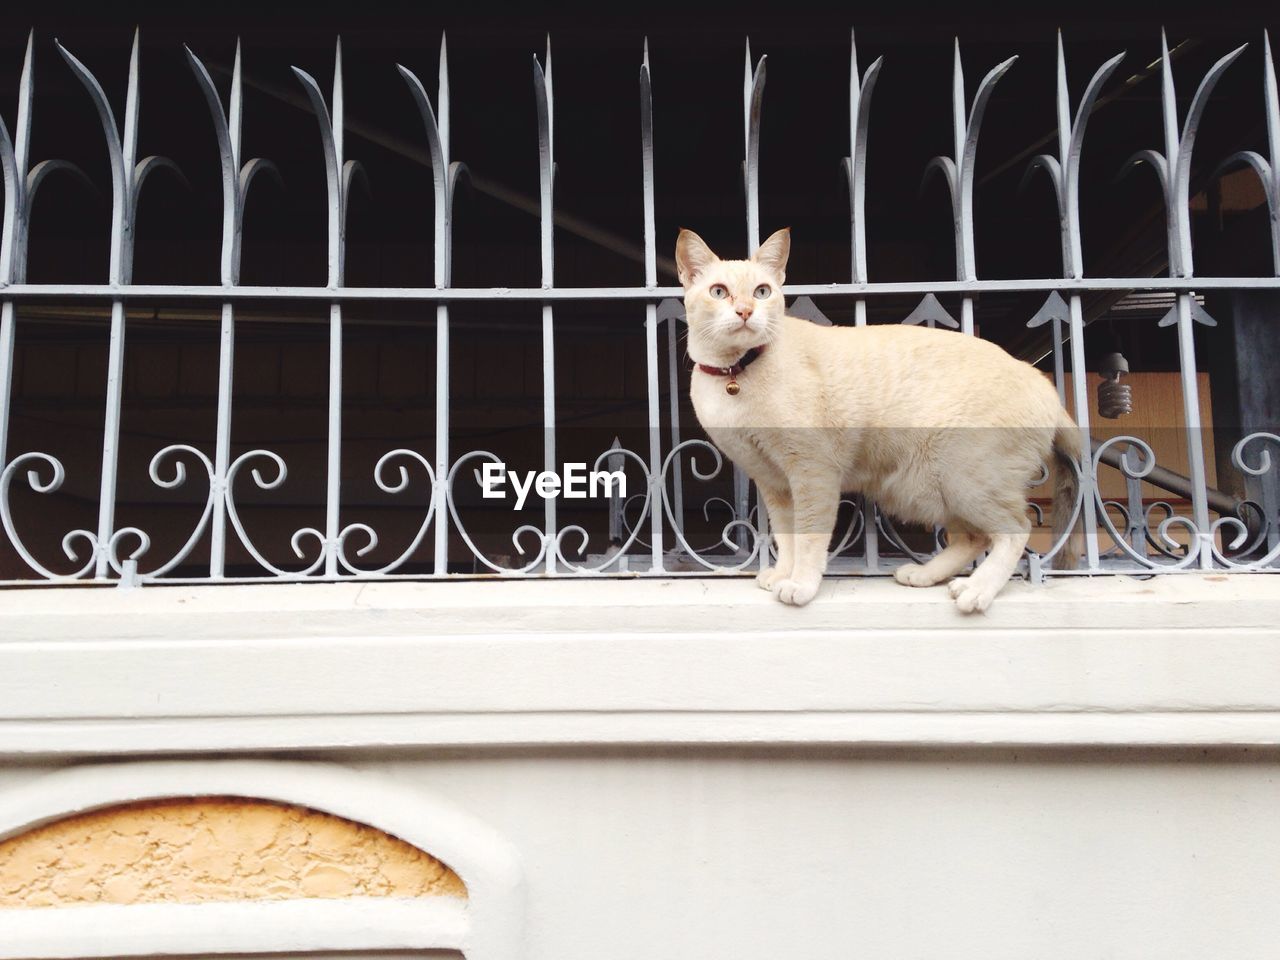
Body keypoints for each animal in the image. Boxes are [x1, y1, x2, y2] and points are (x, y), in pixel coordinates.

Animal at [675, 229, 1085, 611]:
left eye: (762, 292)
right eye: (719, 292)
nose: (745, 310)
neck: (734, 374)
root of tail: (1042, 380)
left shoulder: (811, 472)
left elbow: (808, 537)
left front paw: (800, 585)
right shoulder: (773, 482)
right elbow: (786, 536)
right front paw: (781, 575)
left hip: (964, 480)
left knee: (1016, 530)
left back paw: (976, 590)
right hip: (928, 489)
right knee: (973, 537)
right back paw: (924, 574)